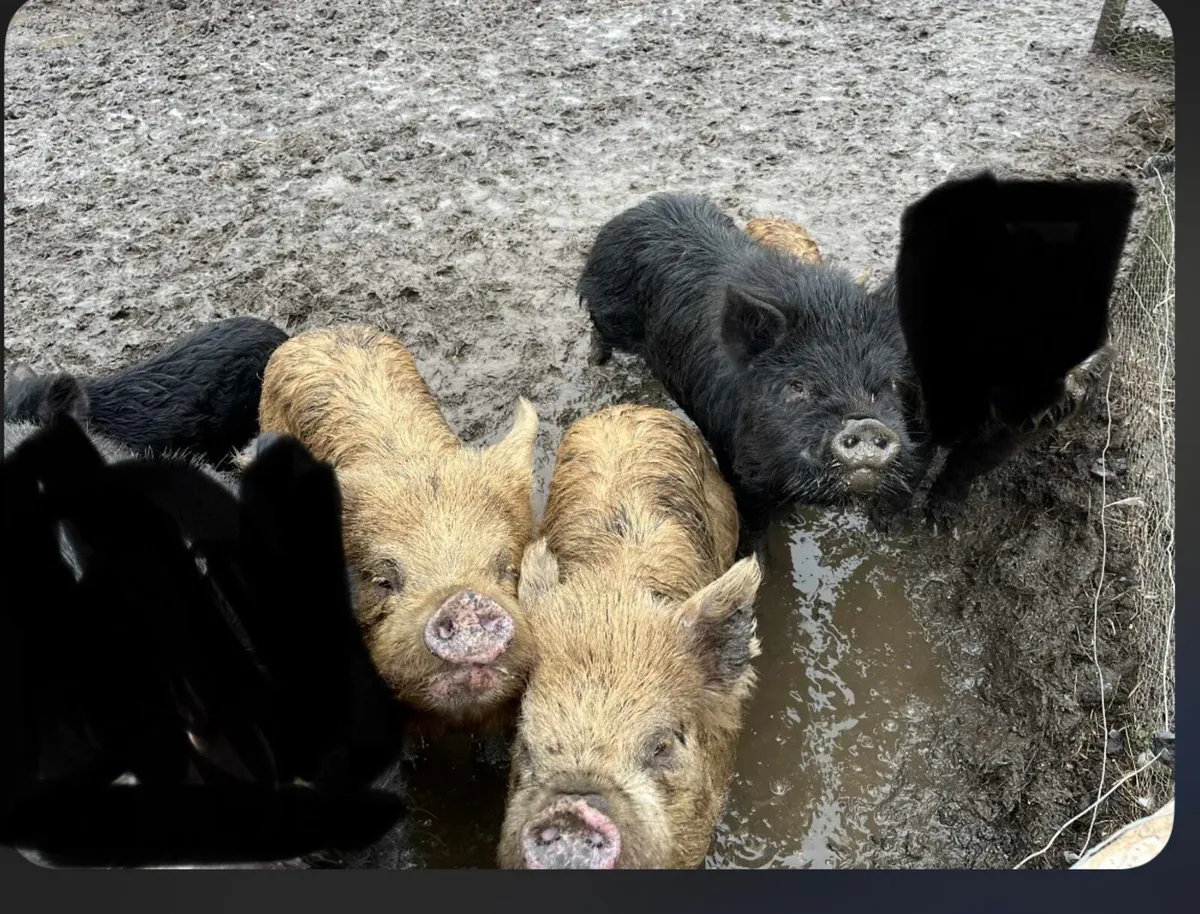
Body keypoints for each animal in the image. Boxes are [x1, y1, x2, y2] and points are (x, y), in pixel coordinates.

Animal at [578, 193, 931, 553]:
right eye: (798, 385)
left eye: (888, 384)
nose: (865, 422)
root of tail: (638, 210)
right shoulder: (737, 460)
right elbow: (754, 519)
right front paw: (756, 551)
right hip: (611, 312)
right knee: (597, 324)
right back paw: (597, 360)